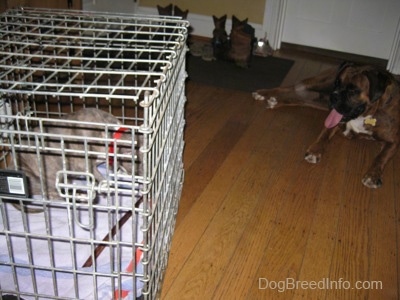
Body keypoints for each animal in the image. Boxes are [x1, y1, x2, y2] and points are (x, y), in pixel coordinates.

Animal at [0, 106, 144, 212]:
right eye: (141, 169)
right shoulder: (83, 159)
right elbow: (95, 173)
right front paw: (106, 185)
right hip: (39, 176)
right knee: (55, 192)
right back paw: (81, 196)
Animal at [253, 62, 400, 189]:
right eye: (337, 83)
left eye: (353, 91)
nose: (334, 96)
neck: (369, 113)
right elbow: (324, 135)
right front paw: (315, 150)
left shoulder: (393, 142)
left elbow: (381, 157)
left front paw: (373, 176)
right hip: (322, 83)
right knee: (293, 87)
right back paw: (263, 93)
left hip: (323, 101)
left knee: (303, 99)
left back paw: (275, 101)